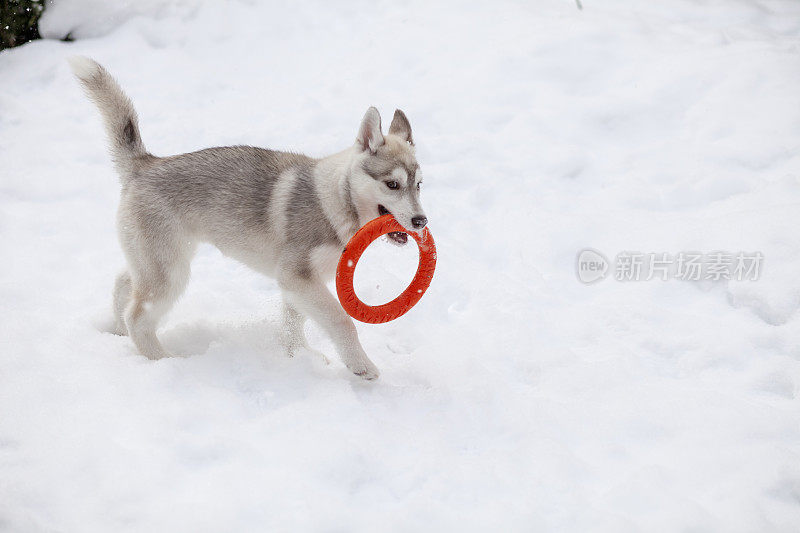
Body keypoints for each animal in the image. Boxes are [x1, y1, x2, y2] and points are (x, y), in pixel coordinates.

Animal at [70, 56, 424, 378]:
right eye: (392, 185)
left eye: (419, 185)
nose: (422, 221)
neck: (334, 199)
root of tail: (146, 163)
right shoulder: (297, 276)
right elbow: (341, 321)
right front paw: (361, 366)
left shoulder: (298, 284)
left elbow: (293, 322)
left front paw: (299, 356)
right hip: (170, 272)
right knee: (139, 316)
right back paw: (163, 360)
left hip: (155, 259)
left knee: (123, 283)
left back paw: (118, 331)